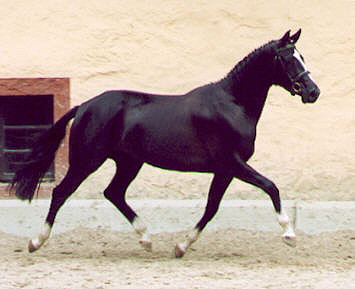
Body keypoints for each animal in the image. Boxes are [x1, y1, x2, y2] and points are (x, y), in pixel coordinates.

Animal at [12, 29, 322, 255]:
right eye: (288, 58)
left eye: (303, 56)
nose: (313, 92)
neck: (232, 104)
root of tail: (84, 106)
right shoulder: (232, 163)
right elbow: (271, 187)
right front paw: (289, 234)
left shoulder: (224, 170)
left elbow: (211, 208)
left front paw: (181, 246)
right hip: (87, 161)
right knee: (61, 193)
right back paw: (36, 242)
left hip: (129, 162)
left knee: (113, 193)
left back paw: (146, 239)